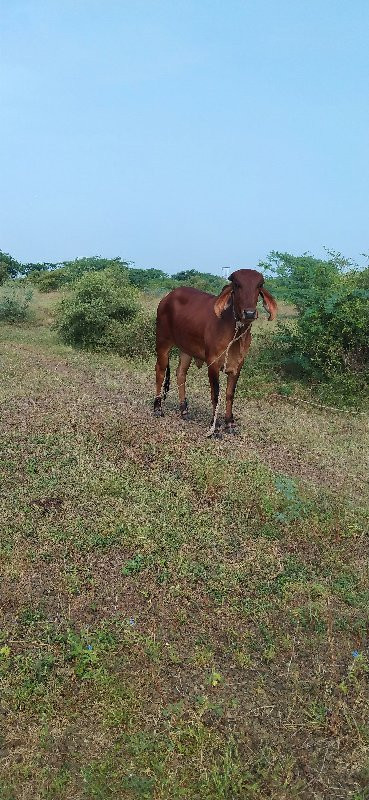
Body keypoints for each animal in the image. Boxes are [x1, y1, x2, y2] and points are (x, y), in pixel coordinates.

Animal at [152, 268, 276, 434]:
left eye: (259, 285)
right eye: (237, 284)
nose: (249, 313)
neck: (234, 330)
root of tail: (168, 297)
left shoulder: (238, 365)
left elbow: (230, 394)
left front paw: (230, 423)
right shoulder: (213, 362)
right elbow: (215, 394)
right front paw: (215, 427)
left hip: (186, 349)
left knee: (181, 373)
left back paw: (184, 411)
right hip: (163, 341)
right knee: (160, 371)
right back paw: (158, 408)